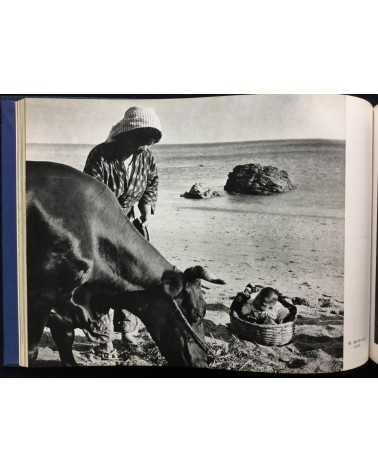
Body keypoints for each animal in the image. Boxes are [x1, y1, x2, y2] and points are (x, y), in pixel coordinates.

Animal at [27, 162, 224, 368]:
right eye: (196, 314)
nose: (203, 362)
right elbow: (32, 351)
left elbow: (65, 342)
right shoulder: (41, 297)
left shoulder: (64, 306)